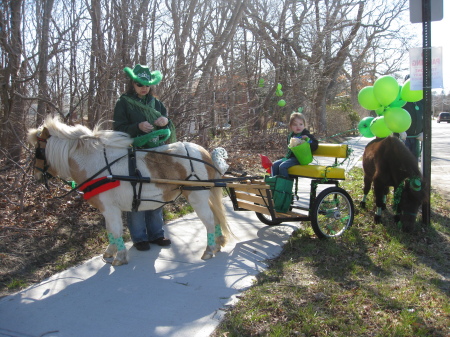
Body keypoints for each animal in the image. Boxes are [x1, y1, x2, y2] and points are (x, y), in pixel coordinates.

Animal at [27, 115, 232, 266]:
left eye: (38, 151)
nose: (35, 175)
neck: (97, 164)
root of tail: (203, 152)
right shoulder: (108, 210)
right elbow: (110, 230)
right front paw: (110, 251)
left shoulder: (110, 209)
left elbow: (116, 231)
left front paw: (119, 257)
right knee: (215, 218)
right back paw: (218, 244)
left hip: (197, 196)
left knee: (209, 221)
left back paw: (208, 250)